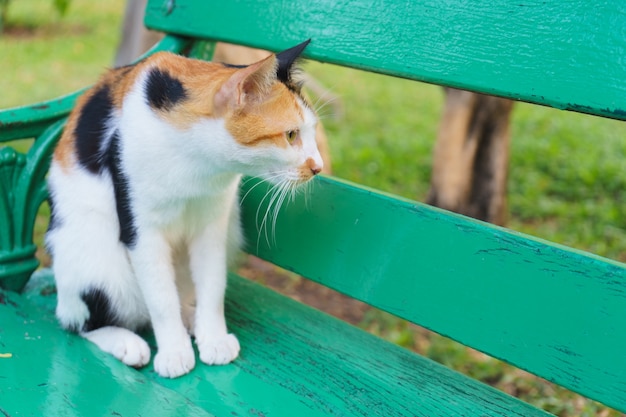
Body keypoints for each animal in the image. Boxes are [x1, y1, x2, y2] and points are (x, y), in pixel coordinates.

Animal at [46, 39, 322, 376]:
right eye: (291, 135)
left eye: (310, 132)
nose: (318, 167)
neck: (200, 164)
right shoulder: (141, 229)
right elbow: (161, 299)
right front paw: (174, 352)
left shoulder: (214, 224)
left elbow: (213, 285)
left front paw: (213, 338)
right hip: (96, 262)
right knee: (79, 322)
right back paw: (127, 343)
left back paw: (190, 318)